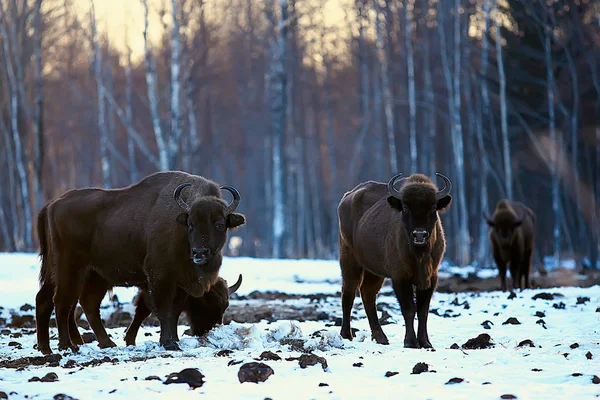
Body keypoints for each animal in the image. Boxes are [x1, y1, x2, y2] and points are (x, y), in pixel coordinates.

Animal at [34, 170, 246, 352]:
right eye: (190, 224)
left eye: (220, 224)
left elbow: (172, 311)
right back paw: (67, 346)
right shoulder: (159, 279)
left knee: (67, 301)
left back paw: (71, 345)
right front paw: (168, 343)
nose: (199, 252)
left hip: (86, 275)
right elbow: (160, 309)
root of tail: (52, 205)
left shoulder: (180, 284)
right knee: (62, 301)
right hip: (70, 269)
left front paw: (172, 340)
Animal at [338, 173, 450, 348]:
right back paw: (346, 335)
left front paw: (425, 342)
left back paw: (381, 337)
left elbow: (423, 311)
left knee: (367, 294)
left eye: (433, 208)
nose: (419, 235)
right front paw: (410, 342)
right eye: (405, 208)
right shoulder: (400, 277)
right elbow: (409, 309)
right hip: (349, 261)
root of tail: (347, 197)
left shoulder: (431, 278)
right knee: (348, 293)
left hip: (374, 271)